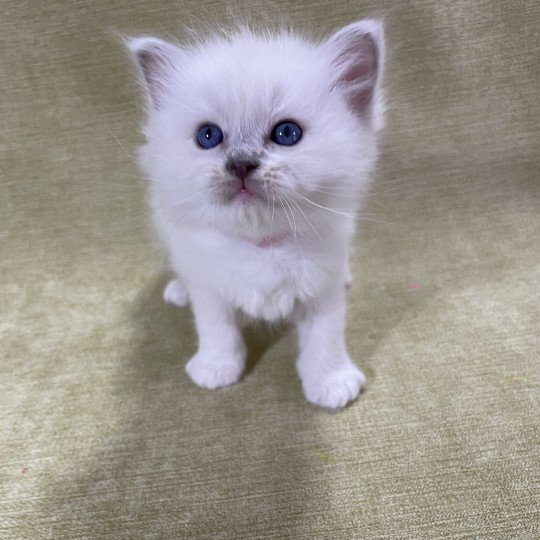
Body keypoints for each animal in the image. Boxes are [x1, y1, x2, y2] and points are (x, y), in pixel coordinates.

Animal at [129, 21, 386, 410]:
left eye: (287, 133)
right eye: (208, 136)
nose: (240, 164)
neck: (262, 244)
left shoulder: (321, 287)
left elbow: (325, 337)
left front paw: (330, 382)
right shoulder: (209, 286)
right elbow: (216, 328)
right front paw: (217, 368)